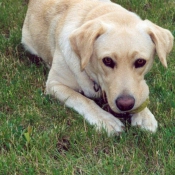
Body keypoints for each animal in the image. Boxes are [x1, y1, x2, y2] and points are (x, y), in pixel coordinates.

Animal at [21, 0, 174, 135]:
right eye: (107, 60)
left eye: (141, 62)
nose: (125, 105)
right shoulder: (54, 84)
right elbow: (82, 99)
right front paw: (105, 119)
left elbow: (142, 92)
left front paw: (144, 116)